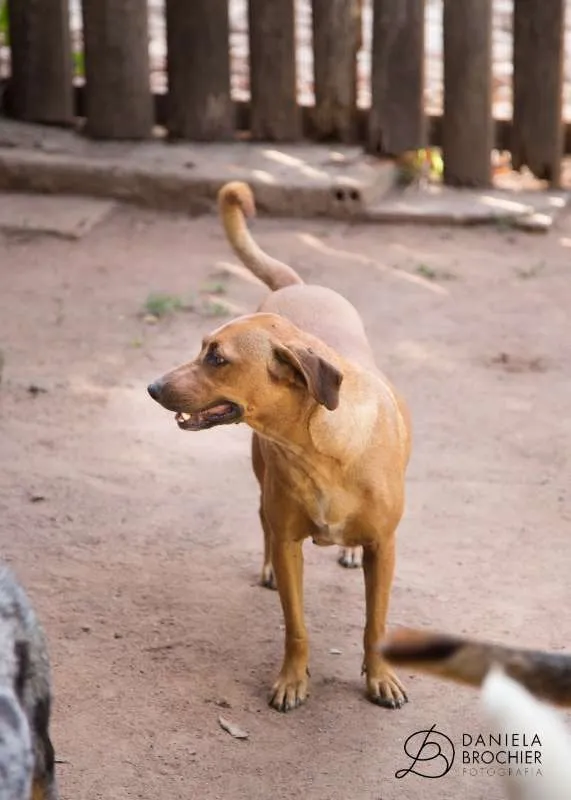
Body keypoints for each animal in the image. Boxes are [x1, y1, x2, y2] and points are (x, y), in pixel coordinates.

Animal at [150, 183, 414, 712]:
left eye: (217, 358)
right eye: (202, 347)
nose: (152, 387)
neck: (319, 452)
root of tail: (298, 283)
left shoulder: (384, 547)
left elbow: (374, 623)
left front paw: (379, 677)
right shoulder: (292, 541)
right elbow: (296, 626)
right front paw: (293, 679)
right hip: (261, 477)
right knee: (263, 520)